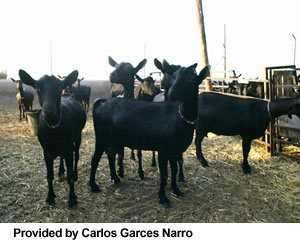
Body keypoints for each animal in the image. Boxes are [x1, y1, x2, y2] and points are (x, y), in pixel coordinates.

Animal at [19, 70, 86, 208]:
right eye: (37, 87)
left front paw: (72, 199)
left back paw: (75, 173)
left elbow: (70, 177)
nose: (49, 109)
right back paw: (60, 171)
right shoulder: (46, 151)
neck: (53, 129)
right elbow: (49, 176)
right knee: (61, 157)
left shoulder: (68, 149)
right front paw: (50, 197)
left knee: (76, 155)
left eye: (60, 86)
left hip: (78, 136)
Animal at [89, 62, 211, 207]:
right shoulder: (163, 149)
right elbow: (164, 174)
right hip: (101, 137)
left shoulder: (175, 150)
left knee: (111, 155)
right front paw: (163, 198)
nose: (172, 92)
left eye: (192, 79)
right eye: (174, 77)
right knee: (95, 159)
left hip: (114, 139)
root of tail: (102, 104)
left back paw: (115, 178)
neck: (180, 117)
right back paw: (93, 186)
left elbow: (174, 170)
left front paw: (176, 190)